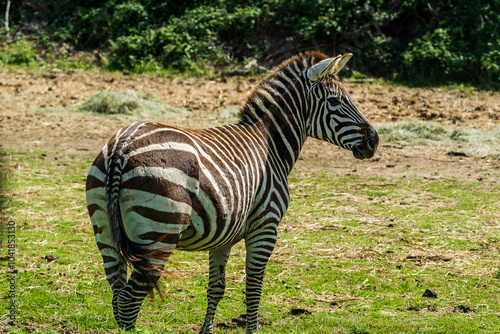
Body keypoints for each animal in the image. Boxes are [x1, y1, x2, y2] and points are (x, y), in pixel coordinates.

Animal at [86, 51, 378, 332]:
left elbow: (216, 289)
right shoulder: (265, 226)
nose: (374, 141)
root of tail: (123, 145)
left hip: (106, 232)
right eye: (335, 101)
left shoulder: (223, 235)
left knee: (117, 293)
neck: (270, 143)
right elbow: (254, 288)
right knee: (128, 302)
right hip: (158, 233)